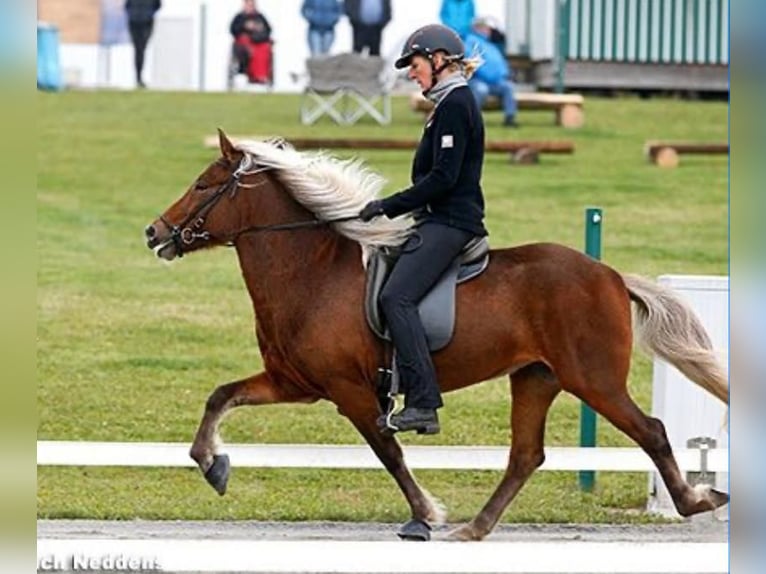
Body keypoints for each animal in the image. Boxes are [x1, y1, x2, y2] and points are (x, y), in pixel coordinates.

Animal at [144, 130, 729, 541]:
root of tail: (608, 274)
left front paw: (424, 514)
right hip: (536, 378)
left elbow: (388, 451)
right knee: (526, 455)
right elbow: (221, 396)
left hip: (594, 379)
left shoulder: (350, 392)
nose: (154, 233)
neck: (312, 272)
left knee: (651, 431)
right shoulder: (296, 382)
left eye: (202, 185)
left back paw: (698, 500)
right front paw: (213, 465)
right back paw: (475, 529)